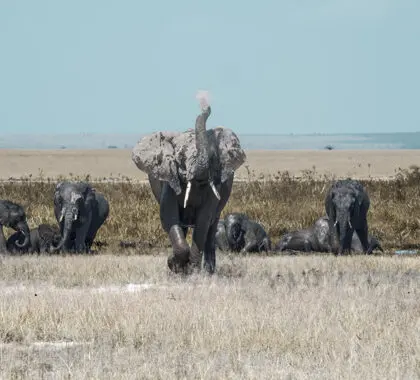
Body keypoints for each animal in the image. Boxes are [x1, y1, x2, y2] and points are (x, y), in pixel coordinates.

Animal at [132, 90, 246, 274]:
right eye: (181, 157)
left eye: (213, 157)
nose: (204, 101)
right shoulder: (170, 179)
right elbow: (169, 216)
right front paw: (175, 265)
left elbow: (204, 220)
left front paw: (191, 270)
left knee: (212, 227)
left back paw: (209, 271)